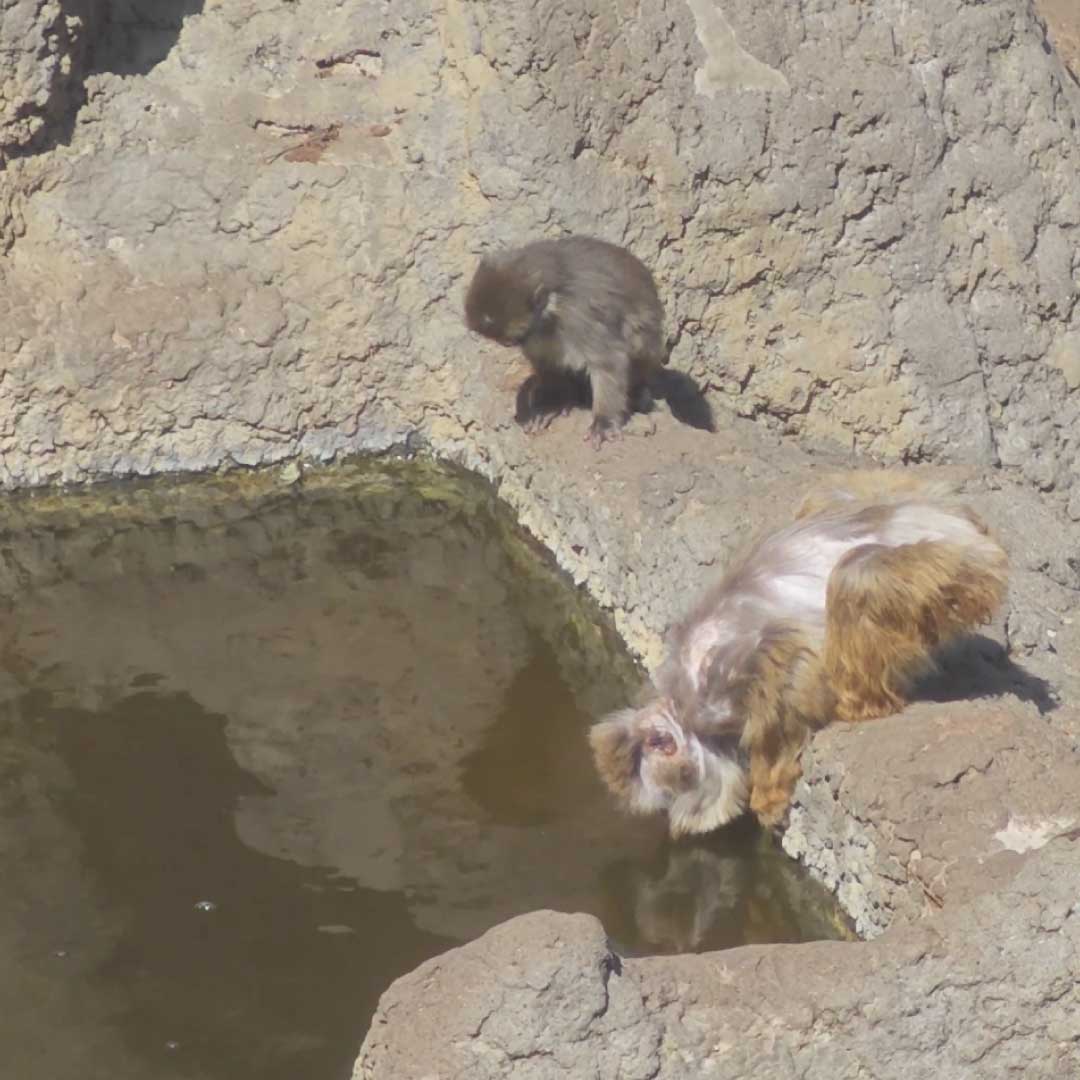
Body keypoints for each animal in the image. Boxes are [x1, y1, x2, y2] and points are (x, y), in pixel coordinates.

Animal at [463, 235, 665, 449]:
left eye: (508, 342)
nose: (511, 345)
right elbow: (545, 360)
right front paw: (553, 403)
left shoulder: (580, 314)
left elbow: (608, 361)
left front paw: (604, 422)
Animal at [589, 473, 1009, 835]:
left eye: (675, 771)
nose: (685, 794)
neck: (681, 706)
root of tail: (962, 525)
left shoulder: (724, 682)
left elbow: (783, 665)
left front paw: (767, 789)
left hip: (945, 568)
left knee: (855, 576)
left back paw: (864, 700)